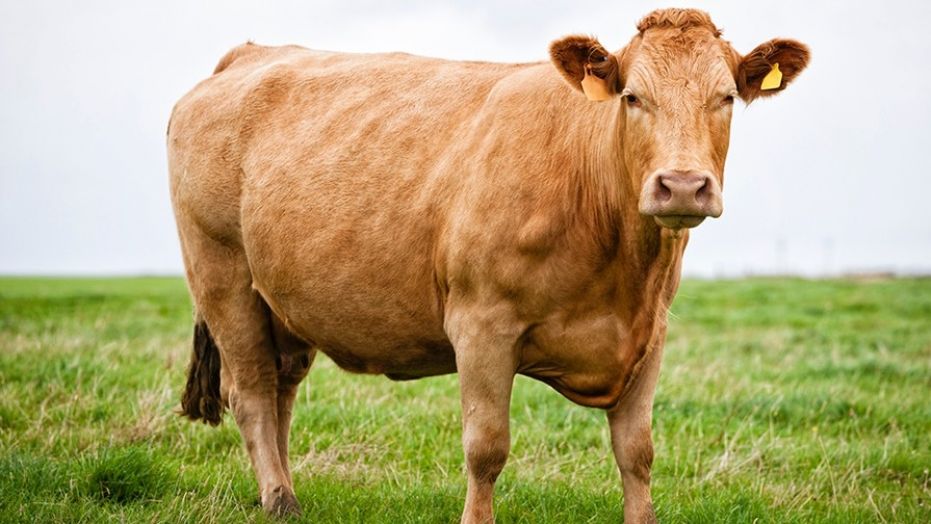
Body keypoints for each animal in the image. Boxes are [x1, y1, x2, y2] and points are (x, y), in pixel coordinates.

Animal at [167, 8, 809, 523]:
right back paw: (280, 499)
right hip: (222, 274)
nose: (681, 186)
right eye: (633, 97)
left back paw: (279, 492)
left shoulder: (649, 334)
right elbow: (487, 448)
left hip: (283, 301)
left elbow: (638, 452)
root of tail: (250, 53)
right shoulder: (480, 325)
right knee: (252, 391)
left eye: (725, 98)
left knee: (282, 389)